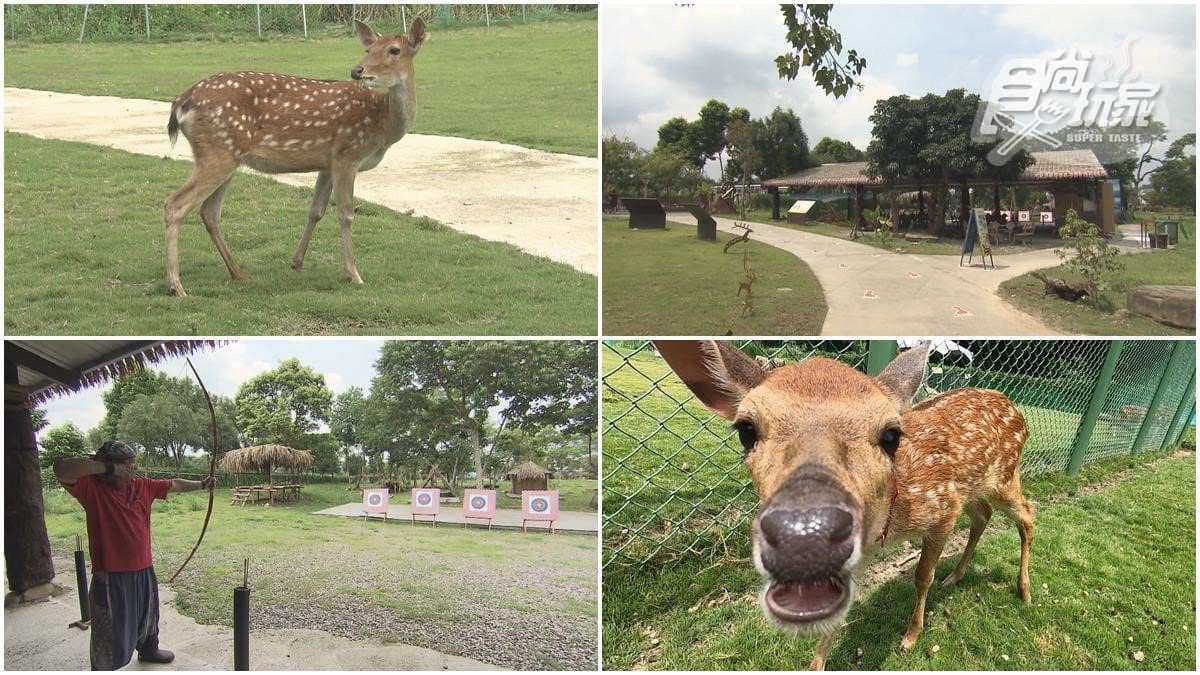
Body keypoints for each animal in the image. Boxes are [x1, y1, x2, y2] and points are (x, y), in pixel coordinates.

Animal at [163, 18, 426, 297]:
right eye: (369, 49)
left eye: (394, 50)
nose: (357, 70)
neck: (382, 125)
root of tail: (180, 103)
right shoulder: (347, 154)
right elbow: (346, 213)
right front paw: (353, 274)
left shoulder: (327, 163)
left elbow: (316, 211)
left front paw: (297, 262)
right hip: (217, 152)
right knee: (175, 204)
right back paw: (176, 285)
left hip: (226, 156)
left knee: (209, 212)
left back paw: (237, 272)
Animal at [654, 340, 1035, 670]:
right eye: (745, 430)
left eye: (891, 434)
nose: (804, 532)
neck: (889, 521)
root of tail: (1016, 409)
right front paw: (816, 663)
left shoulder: (944, 508)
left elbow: (922, 577)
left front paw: (910, 637)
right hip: (978, 488)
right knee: (984, 516)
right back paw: (955, 576)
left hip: (1004, 477)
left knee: (1028, 514)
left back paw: (1024, 591)